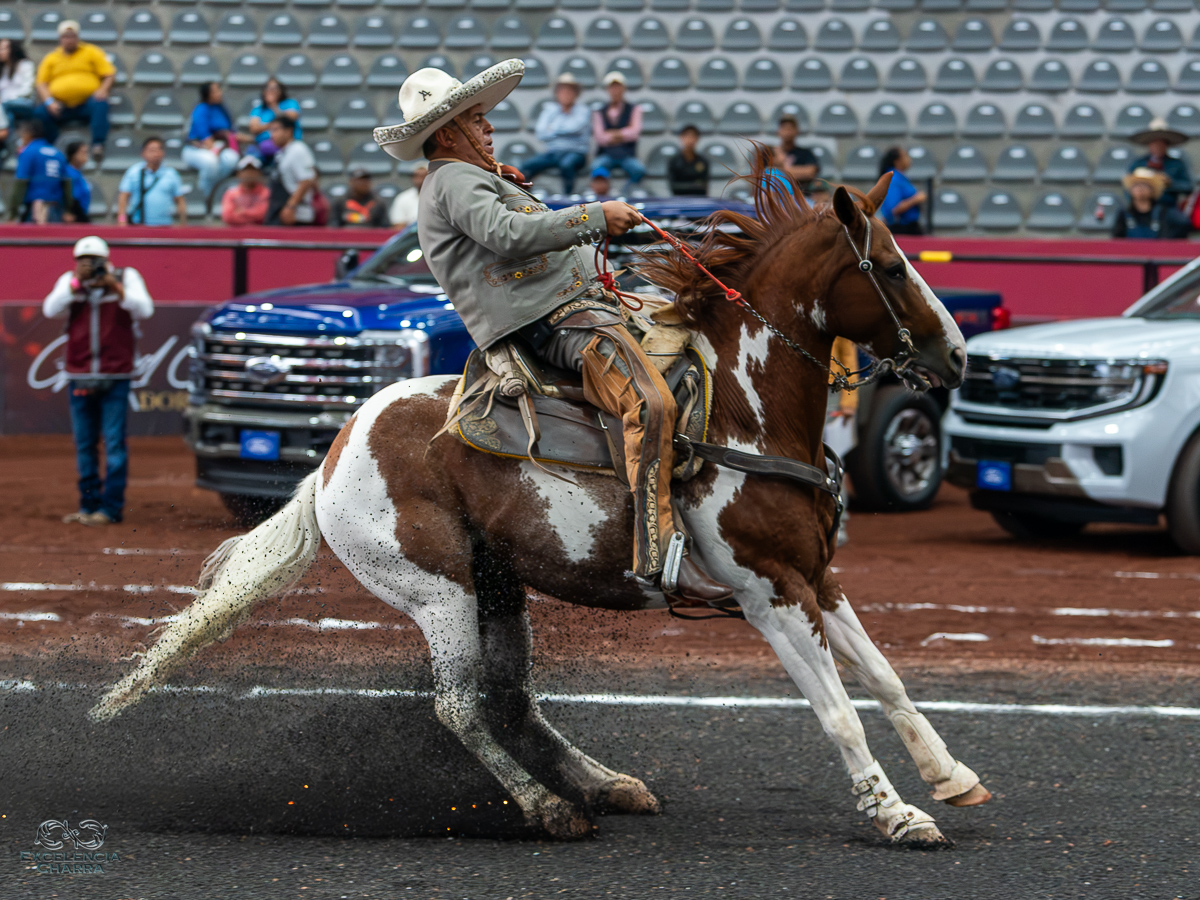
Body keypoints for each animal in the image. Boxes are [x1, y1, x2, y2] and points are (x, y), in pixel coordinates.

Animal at [89, 165, 990, 847]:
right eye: (892, 267)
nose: (957, 353)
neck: (742, 410)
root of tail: (332, 460)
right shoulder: (768, 591)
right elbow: (839, 712)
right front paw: (898, 816)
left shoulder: (816, 577)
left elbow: (885, 677)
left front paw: (951, 776)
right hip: (438, 591)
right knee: (460, 707)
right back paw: (550, 808)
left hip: (499, 586)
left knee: (512, 701)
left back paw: (605, 784)